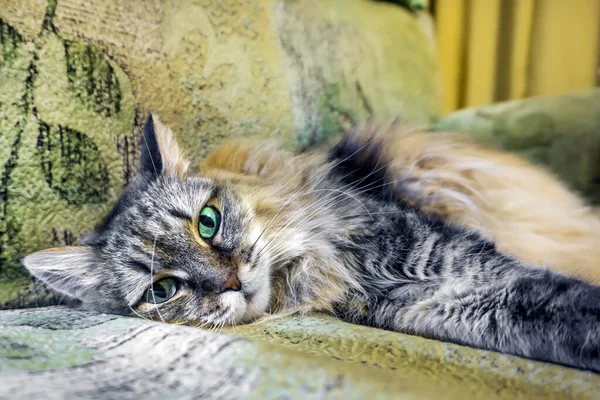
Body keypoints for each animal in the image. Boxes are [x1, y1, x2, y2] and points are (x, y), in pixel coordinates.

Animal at [21, 115, 600, 372]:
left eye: (207, 222)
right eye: (162, 291)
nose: (229, 281)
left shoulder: (449, 258)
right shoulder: (440, 300)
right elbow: (551, 313)